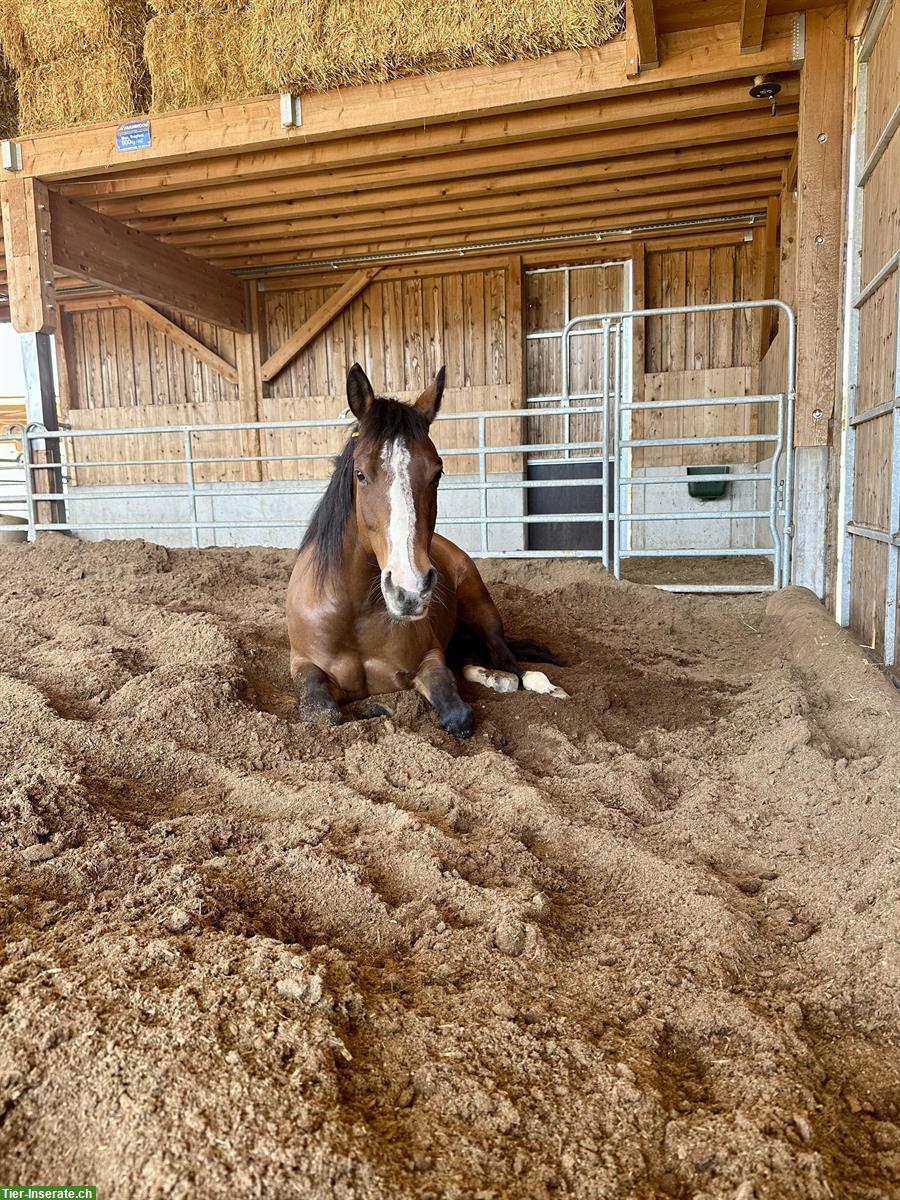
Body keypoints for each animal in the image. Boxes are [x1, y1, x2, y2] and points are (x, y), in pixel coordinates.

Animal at [286, 363, 566, 739]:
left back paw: (530, 681)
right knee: (469, 659)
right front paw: (376, 708)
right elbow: (325, 714)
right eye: (360, 473)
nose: (410, 590)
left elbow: (458, 715)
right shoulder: (303, 665)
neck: (353, 609)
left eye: (437, 473)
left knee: (505, 658)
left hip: (482, 608)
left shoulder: (429, 659)